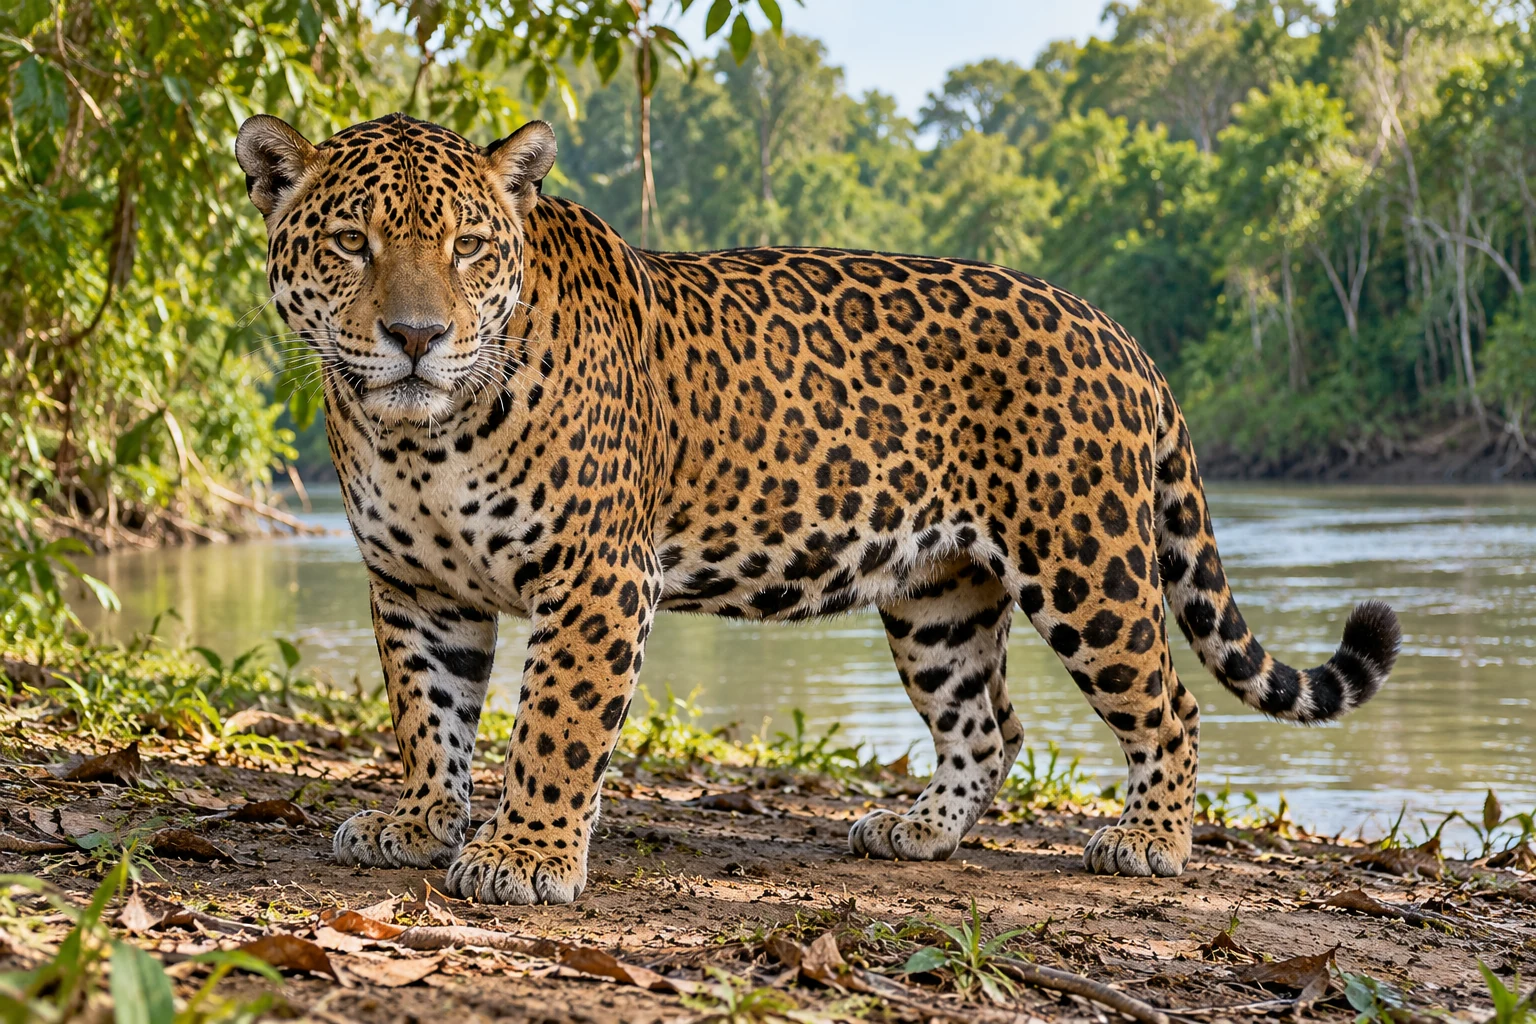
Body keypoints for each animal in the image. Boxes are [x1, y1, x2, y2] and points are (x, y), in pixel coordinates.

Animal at [236, 111, 1401, 905]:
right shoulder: (417, 587)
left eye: (469, 249)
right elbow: (428, 717)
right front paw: (422, 822)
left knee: (1168, 700)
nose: (416, 336)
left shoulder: (596, 576)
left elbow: (557, 724)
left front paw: (525, 854)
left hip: (1085, 563)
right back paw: (921, 831)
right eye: (350, 243)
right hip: (940, 594)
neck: (421, 435)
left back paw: (1150, 841)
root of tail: (1120, 334)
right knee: (990, 722)